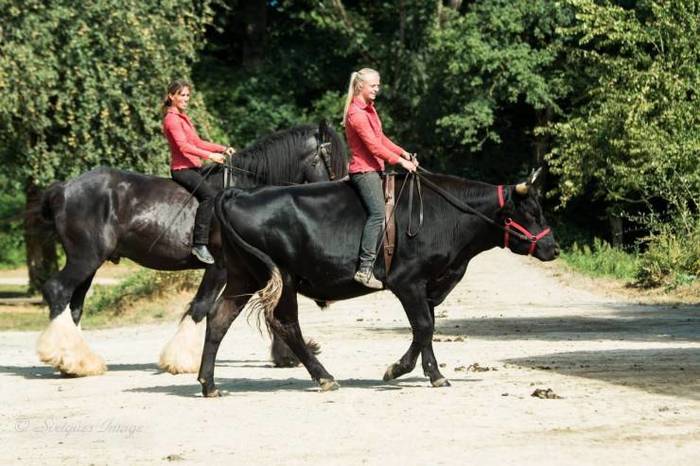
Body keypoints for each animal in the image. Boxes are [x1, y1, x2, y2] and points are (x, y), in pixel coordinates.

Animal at [35, 122, 348, 376]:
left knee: (74, 306)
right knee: (58, 291)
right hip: (85, 258)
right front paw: (182, 360)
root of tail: (64, 188)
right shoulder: (220, 269)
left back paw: (76, 361)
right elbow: (202, 306)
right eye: (330, 157)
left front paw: (286, 356)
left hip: (90, 263)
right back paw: (69, 358)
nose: (340, 190)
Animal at [198, 169, 556, 396]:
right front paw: (406, 370)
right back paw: (324, 377)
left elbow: (426, 328)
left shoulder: (428, 286)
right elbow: (424, 326)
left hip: (243, 276)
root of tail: (239, 193)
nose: (553, 247)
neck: (448, 216)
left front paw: (427, 372)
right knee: (286, 325)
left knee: (218, 318)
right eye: (530, 212)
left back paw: (209, 383)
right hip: (281, 278)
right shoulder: (407, 281)